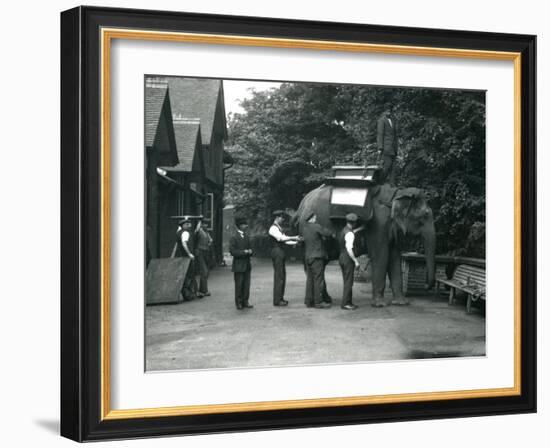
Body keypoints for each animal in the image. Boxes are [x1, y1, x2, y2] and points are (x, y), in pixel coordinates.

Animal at [296, 184, 438, 306]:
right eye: (424, 217)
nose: (426, 286)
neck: (398, 194)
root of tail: (302, 204)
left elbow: (395, 258)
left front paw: (401, 303)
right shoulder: (379, 224)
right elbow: (381, 257)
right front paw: (380, 305)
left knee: (317, 265)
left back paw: (321, 300)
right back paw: (323, 301)